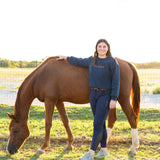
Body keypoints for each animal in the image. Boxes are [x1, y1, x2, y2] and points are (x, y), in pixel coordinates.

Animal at [6, 56, 140, 155]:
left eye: (15, 130)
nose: (10, 150)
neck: (41, 77)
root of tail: (128, 64)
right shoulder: (58, 101)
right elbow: (65, 121)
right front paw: (70, 144)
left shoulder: (50, 101)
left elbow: (48, 123)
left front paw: (43, 147)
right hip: (111, 101)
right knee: (112, 119)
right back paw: (102, 146)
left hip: (122, 99)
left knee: (132, 118)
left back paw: (133, 148)